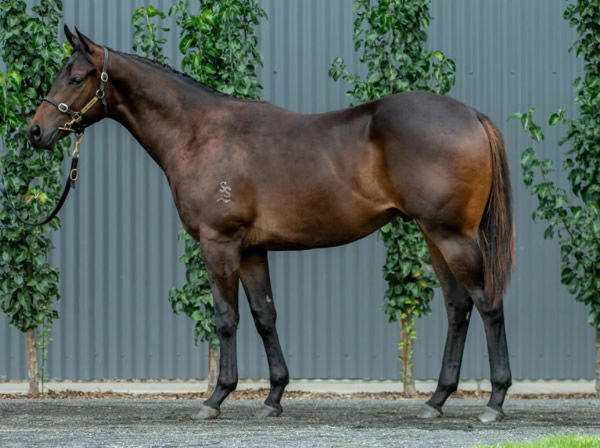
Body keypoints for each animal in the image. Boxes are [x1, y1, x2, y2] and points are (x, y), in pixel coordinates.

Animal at [27, 28, 516, 424]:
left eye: (76, 77)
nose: (35, 131)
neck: (199, 133)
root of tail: (471, 116)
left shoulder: (219, 243)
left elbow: (227, 318)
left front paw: (215, 399)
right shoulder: (251, 249)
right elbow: (265, 316)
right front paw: (274, 397)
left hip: (452, 236)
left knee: (486, 303)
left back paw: (494, 402)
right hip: (435, 237)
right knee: (458, 307)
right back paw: (436, 400)